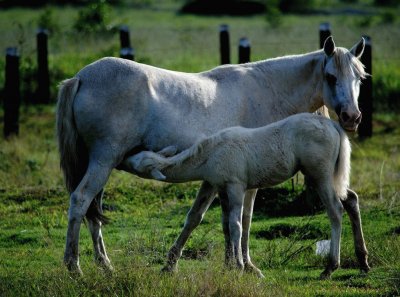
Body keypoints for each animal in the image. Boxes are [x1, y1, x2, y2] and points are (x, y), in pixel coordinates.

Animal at [123, 112, 368, 278]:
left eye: (138, 162)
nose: (124, 158)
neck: (211, 153)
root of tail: (334, 125)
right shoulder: (216, 186)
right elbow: (214, 222)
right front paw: (228, 265)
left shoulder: (236, 186)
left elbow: (236, 224)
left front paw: (239, 267)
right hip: (330, 176)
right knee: (351, 199)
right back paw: (363, 261)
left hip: (320, 174)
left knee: (335, 210)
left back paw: (330, 267)